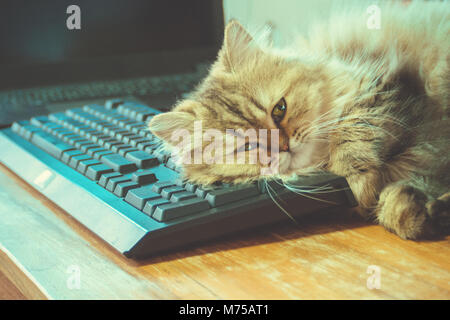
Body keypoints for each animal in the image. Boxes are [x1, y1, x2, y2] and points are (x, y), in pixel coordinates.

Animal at [149, 0, 448, 240]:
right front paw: (415, 213)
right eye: (248, 147)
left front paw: (359, 182)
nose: (284, 146)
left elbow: (354, 128)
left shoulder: (387, 86)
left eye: (279, 110)